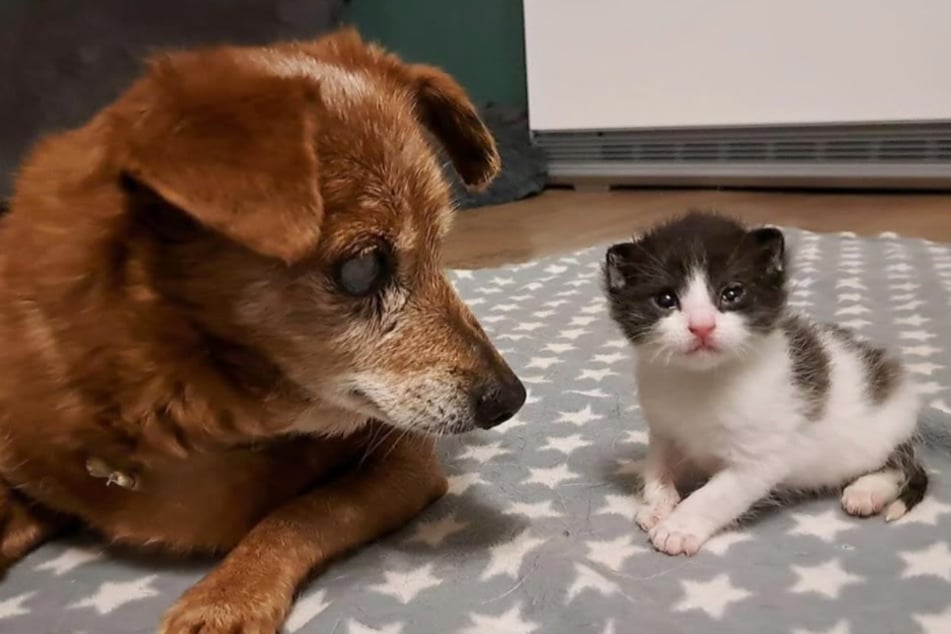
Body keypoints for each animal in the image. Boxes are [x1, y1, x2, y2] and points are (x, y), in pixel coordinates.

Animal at [0, 27, 528, 628]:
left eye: (442, 248)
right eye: (362, 268)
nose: (511, 397)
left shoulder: (405, 460)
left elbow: (302, 510)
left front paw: (225, 598)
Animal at [608, 211, 924, 552]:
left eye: (731, 293)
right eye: (666, 299)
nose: (702, 326)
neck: (701, 380)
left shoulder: (759, 457)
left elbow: (715, 495)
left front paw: (679, 526)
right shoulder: (664, 427)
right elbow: (657, 465)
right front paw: (657, 503)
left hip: (887, 430)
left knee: (899, 466)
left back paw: (867, 490)